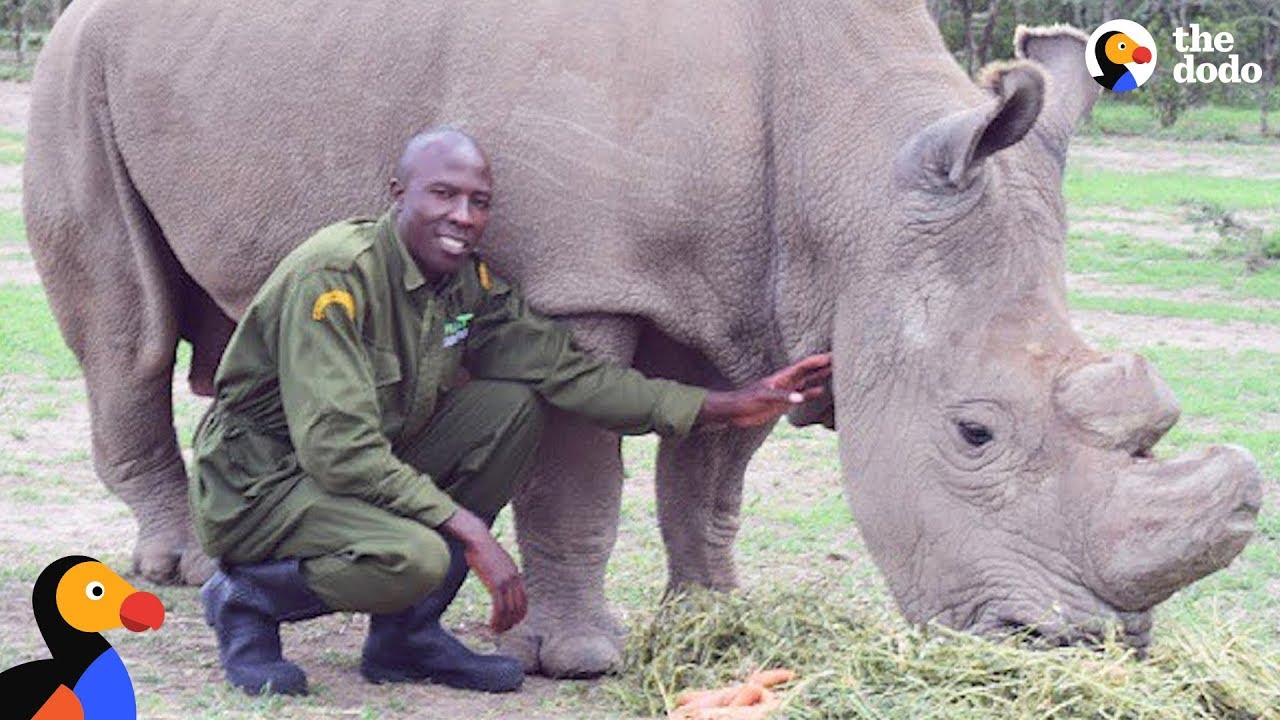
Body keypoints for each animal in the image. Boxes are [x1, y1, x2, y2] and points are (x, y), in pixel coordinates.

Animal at [25, 0, 1261, 677]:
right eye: (973, 434)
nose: (1086, 651)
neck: (850, 173)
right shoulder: (578, 283)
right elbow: (580, 477)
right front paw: (579, 658)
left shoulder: (762, 286)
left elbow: (709, 477)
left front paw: (715, 620)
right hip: (69, 67)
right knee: (129, 337)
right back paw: (182, 573)